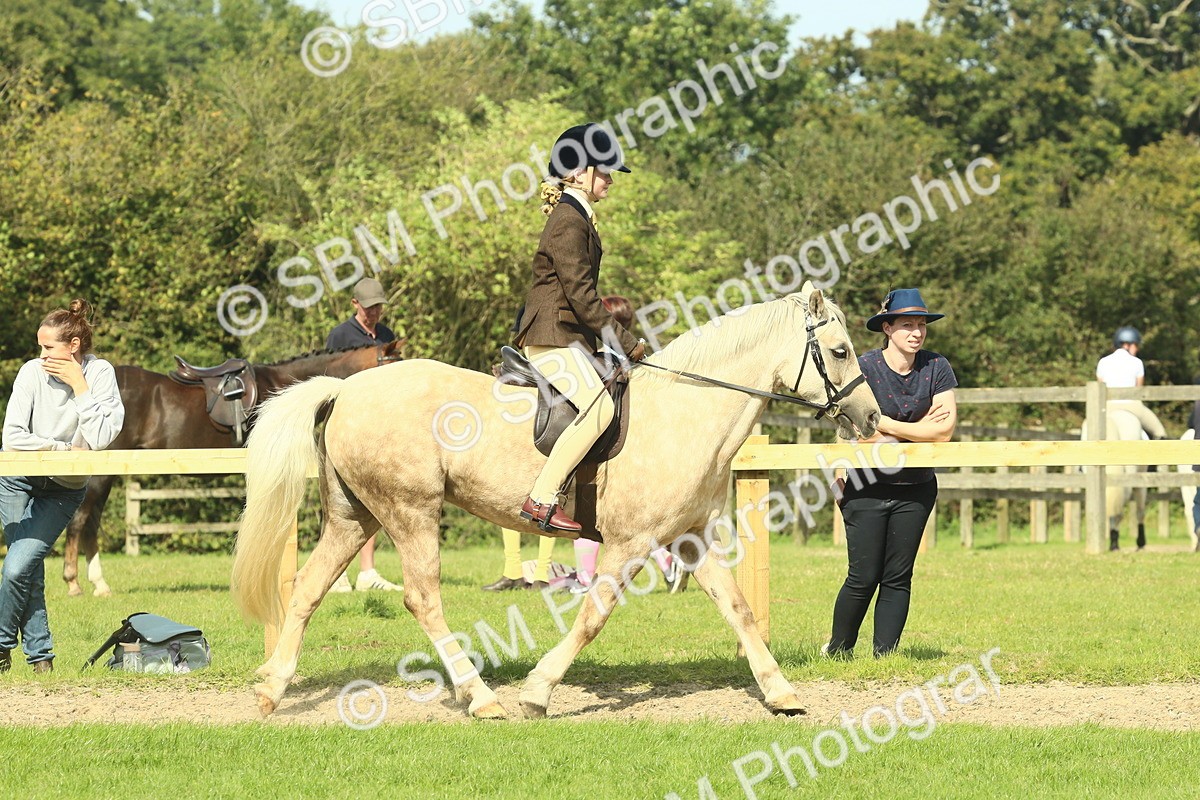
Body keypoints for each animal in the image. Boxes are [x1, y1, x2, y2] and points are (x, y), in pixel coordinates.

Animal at [61, 341, 402, 596]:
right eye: (396, 362)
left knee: (90, 523)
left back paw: (98, 584)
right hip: (101, 473)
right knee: (80, 521)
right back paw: (75, 582)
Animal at [231, 283, 880, 720]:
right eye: (841, 351)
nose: (872, 417)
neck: (687, 410)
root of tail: (345, 388)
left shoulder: (690, 539)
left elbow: (739, 610)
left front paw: (781, 693)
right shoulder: (629, 545)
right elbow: (593, 617)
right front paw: (537, 692)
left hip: (354, 516)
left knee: (309, 587)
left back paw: (271, 689)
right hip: (409, 510)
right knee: (422, 598)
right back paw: (482, 698)